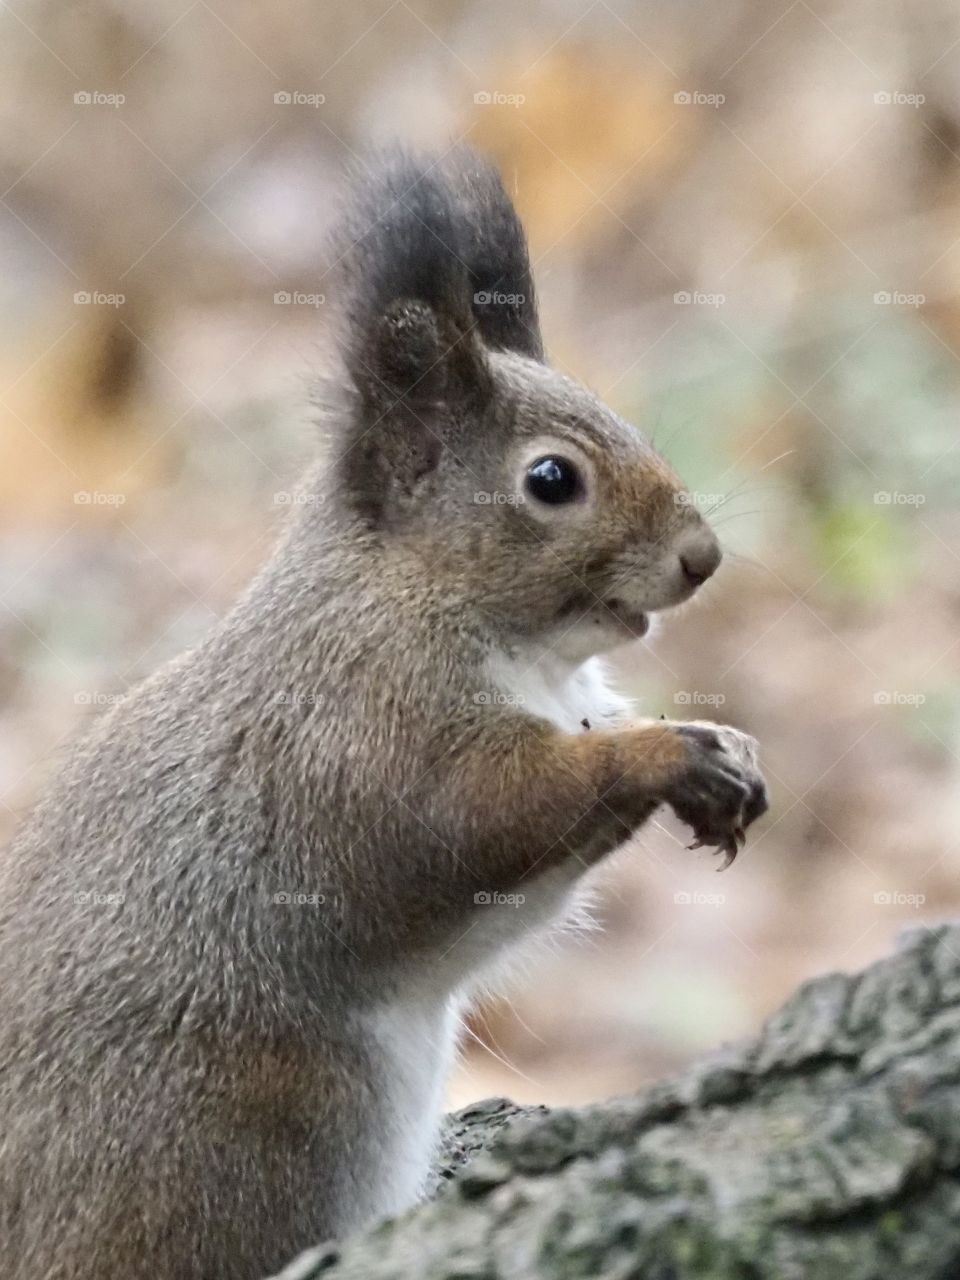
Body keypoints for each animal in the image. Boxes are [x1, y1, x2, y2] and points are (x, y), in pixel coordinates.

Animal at [0, 147, 768, 1280]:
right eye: (552, 479)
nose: (701, 557)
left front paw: (727, 747)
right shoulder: (373, 725)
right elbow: (483, 813)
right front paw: (666, 752)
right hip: (232, 1143)